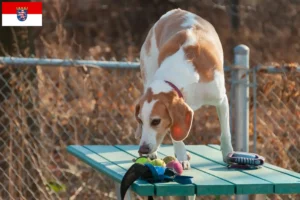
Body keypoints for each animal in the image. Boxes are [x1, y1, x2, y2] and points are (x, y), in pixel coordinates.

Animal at [134, 9, 234, 169]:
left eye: (156, 121)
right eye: (140, 121)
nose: (143, 149)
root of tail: (174, 11)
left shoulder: (222, 100)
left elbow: (225, 132)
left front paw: (228, 154)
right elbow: (176, 136)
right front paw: (181, 157)